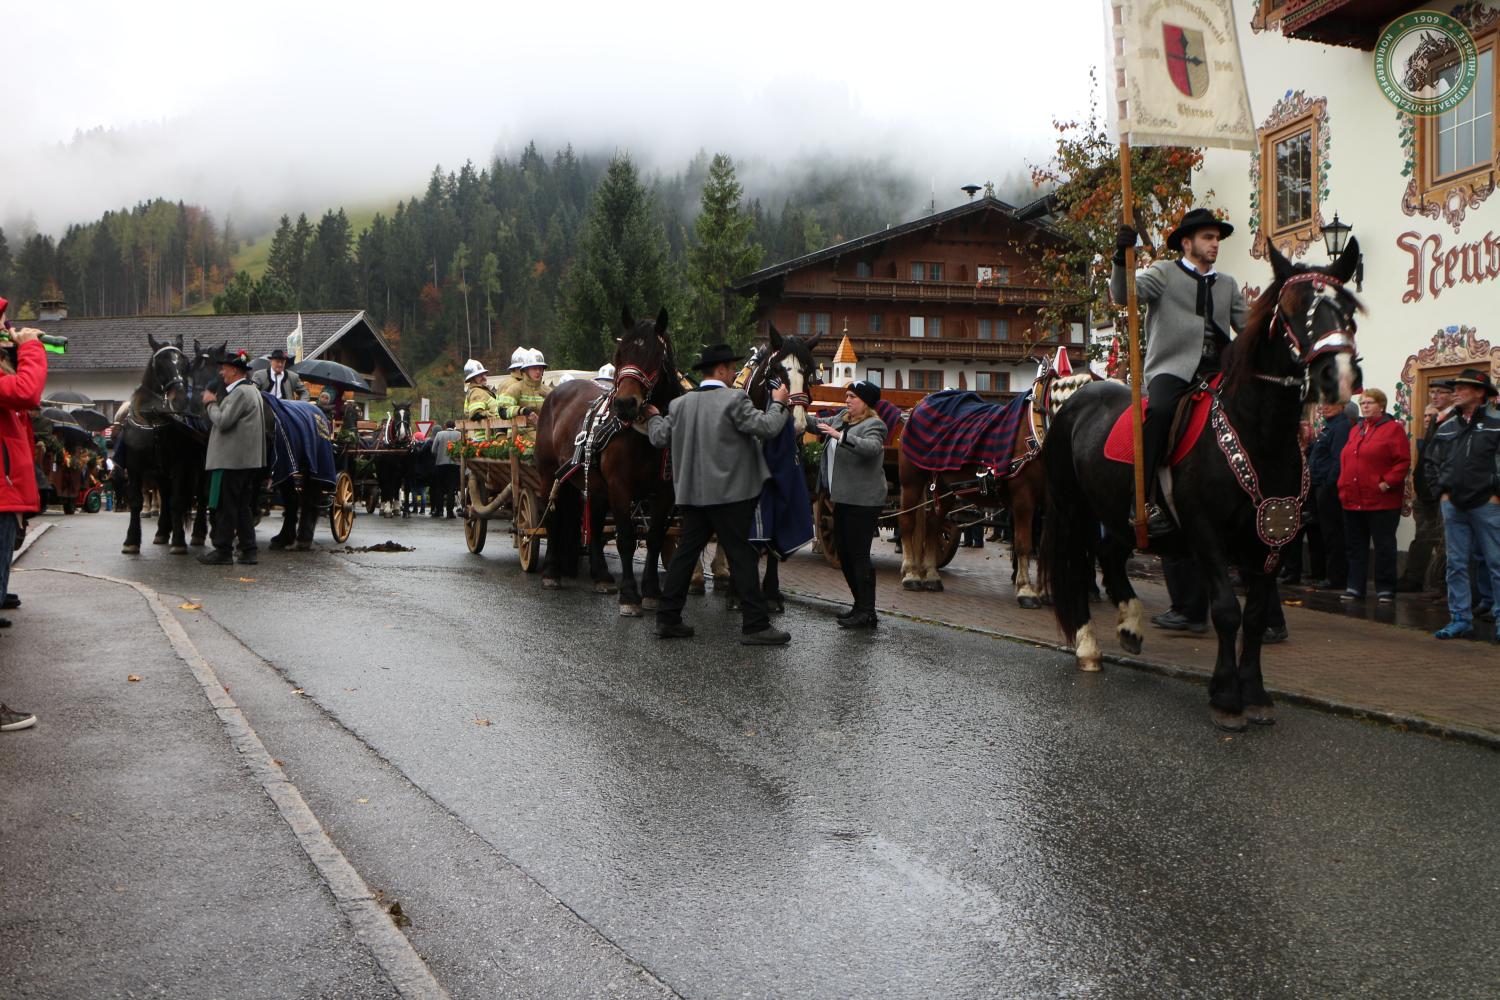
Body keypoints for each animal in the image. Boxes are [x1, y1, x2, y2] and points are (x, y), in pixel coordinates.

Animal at [535, 307, 685, 615]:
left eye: (654, 354)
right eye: (620, 353)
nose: (625, 403)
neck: (645, 435)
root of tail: (556, 393)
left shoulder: (665, 491)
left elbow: (654, 538)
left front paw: (651, 591)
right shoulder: (620, 486)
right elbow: (626, 538)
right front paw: (629, 594)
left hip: (593, 484)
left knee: (592, 521)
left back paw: (601, 576)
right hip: (549, 475)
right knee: (552, 516)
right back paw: (552, 572)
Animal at [1040, 239, 1362, 732]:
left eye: (1347, 307)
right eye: (1290, 309)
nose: (1339, 376)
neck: (1257, 433)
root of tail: (1077, 397)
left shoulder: (1274, 537)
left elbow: (1255, 616)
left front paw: (1255, 694)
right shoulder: (1206, 531)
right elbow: (1227, 611)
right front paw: (1226, 697)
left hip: (1117, 513)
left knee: (1110, 555)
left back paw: (1130, 625)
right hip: (1074, 509)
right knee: (1078, 569)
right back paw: (1088, 646)